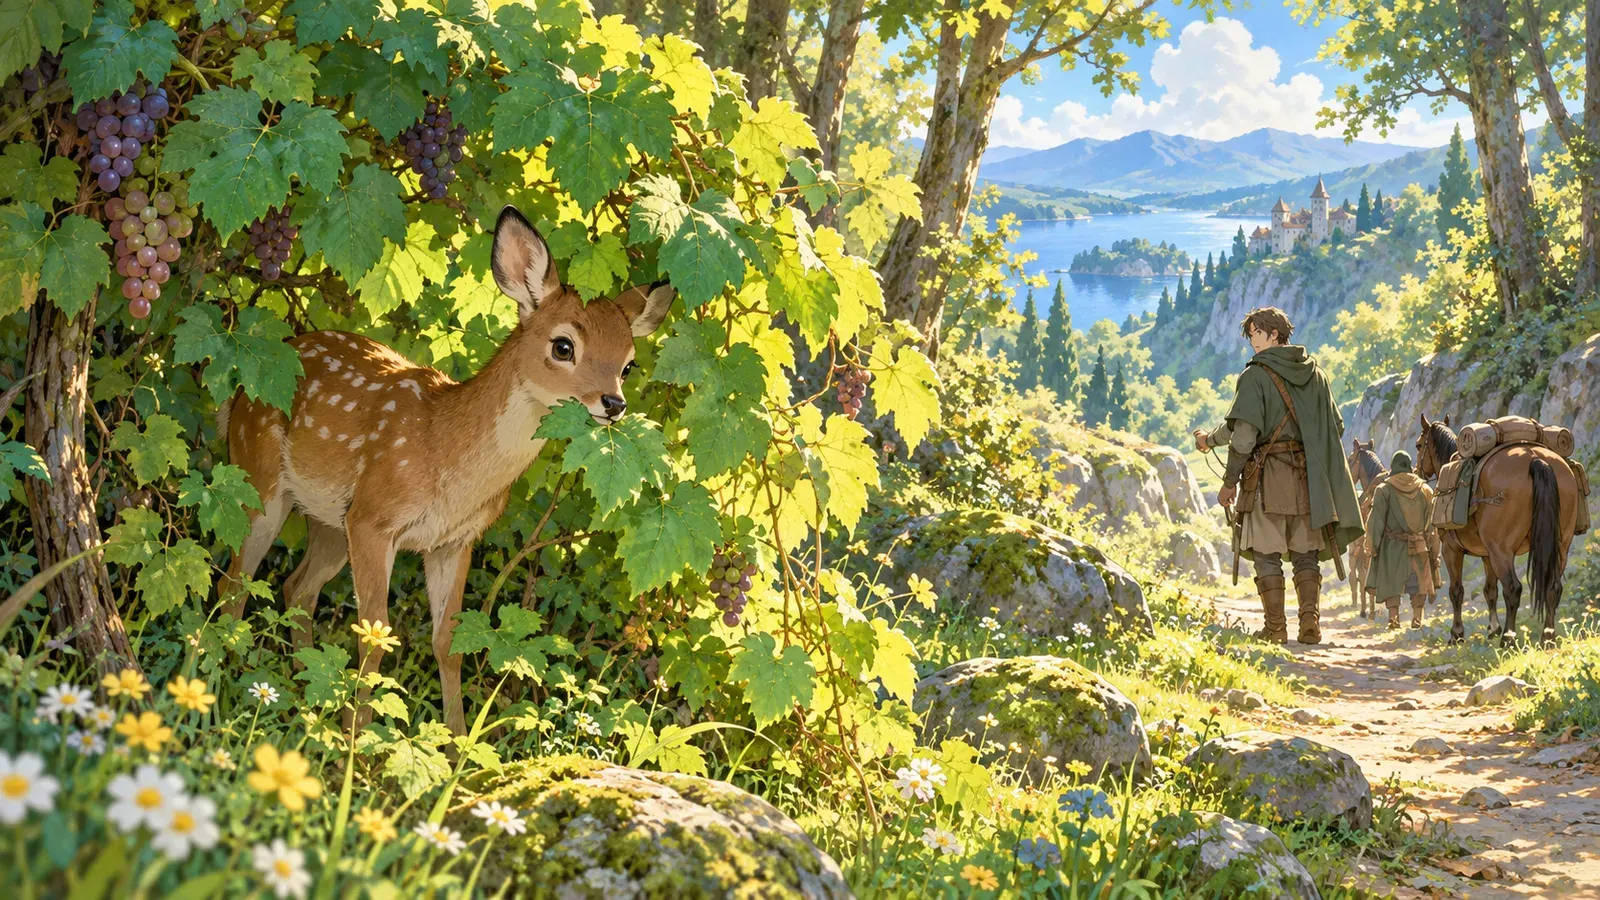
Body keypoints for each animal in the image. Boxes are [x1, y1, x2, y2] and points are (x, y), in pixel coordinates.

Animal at [217, 206, 675, 733]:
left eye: (628, 364)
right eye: (563, 346)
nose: (613, 404)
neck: (444, 455)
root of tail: (237, 396)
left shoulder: (454, 541)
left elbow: (447, 643)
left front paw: (456, 741)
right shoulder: (374, 517)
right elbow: (375, 636)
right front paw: (357, 737)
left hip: (329, 521)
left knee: (296, 589)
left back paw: (302, 696)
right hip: (259, 479)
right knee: (235, 582)